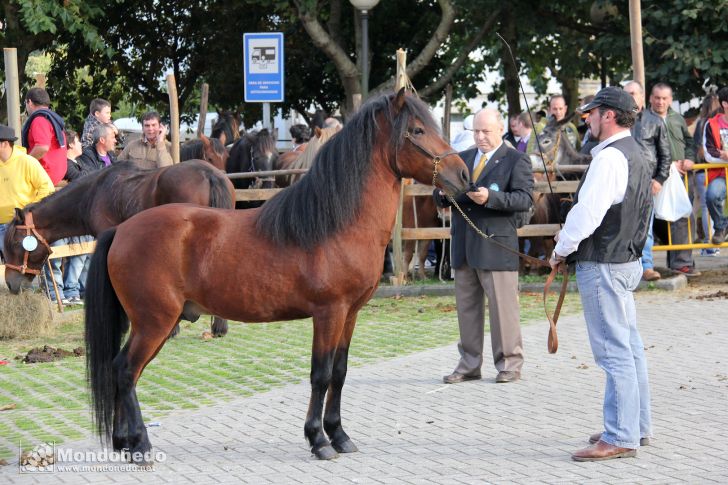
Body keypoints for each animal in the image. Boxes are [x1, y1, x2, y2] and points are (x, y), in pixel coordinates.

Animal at [84, 90, 466, 462]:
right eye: (417, 130)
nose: (462, 175)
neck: (338, 224)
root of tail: (122, 230)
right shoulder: (329, 313)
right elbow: (321, 374)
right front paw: (318, 440)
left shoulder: (350, 314)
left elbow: (340, 373)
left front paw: (340, 435)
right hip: (155, 322)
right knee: (126, 371)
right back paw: (140, 445)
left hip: (155, 324)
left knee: (125, 372)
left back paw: (124, 442)